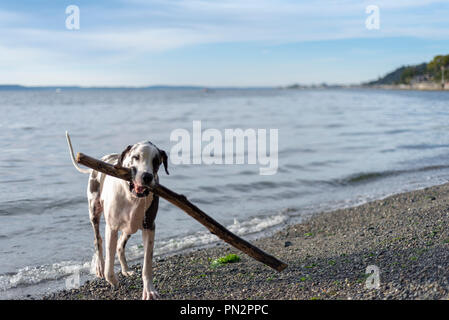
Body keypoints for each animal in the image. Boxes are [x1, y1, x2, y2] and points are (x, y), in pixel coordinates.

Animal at [64, 131, 167, 300]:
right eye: (135, 157)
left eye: (156, 161)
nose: (147, 176)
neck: (131, 197)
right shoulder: (111, 228)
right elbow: (108, 264)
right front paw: (112, 280)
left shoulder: (149, 227)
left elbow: (147, 265)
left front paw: (149, 290)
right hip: (94, 211)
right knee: (97, 240)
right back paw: (100, 266)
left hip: (131, 226)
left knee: (120, 245)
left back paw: (125, 269)